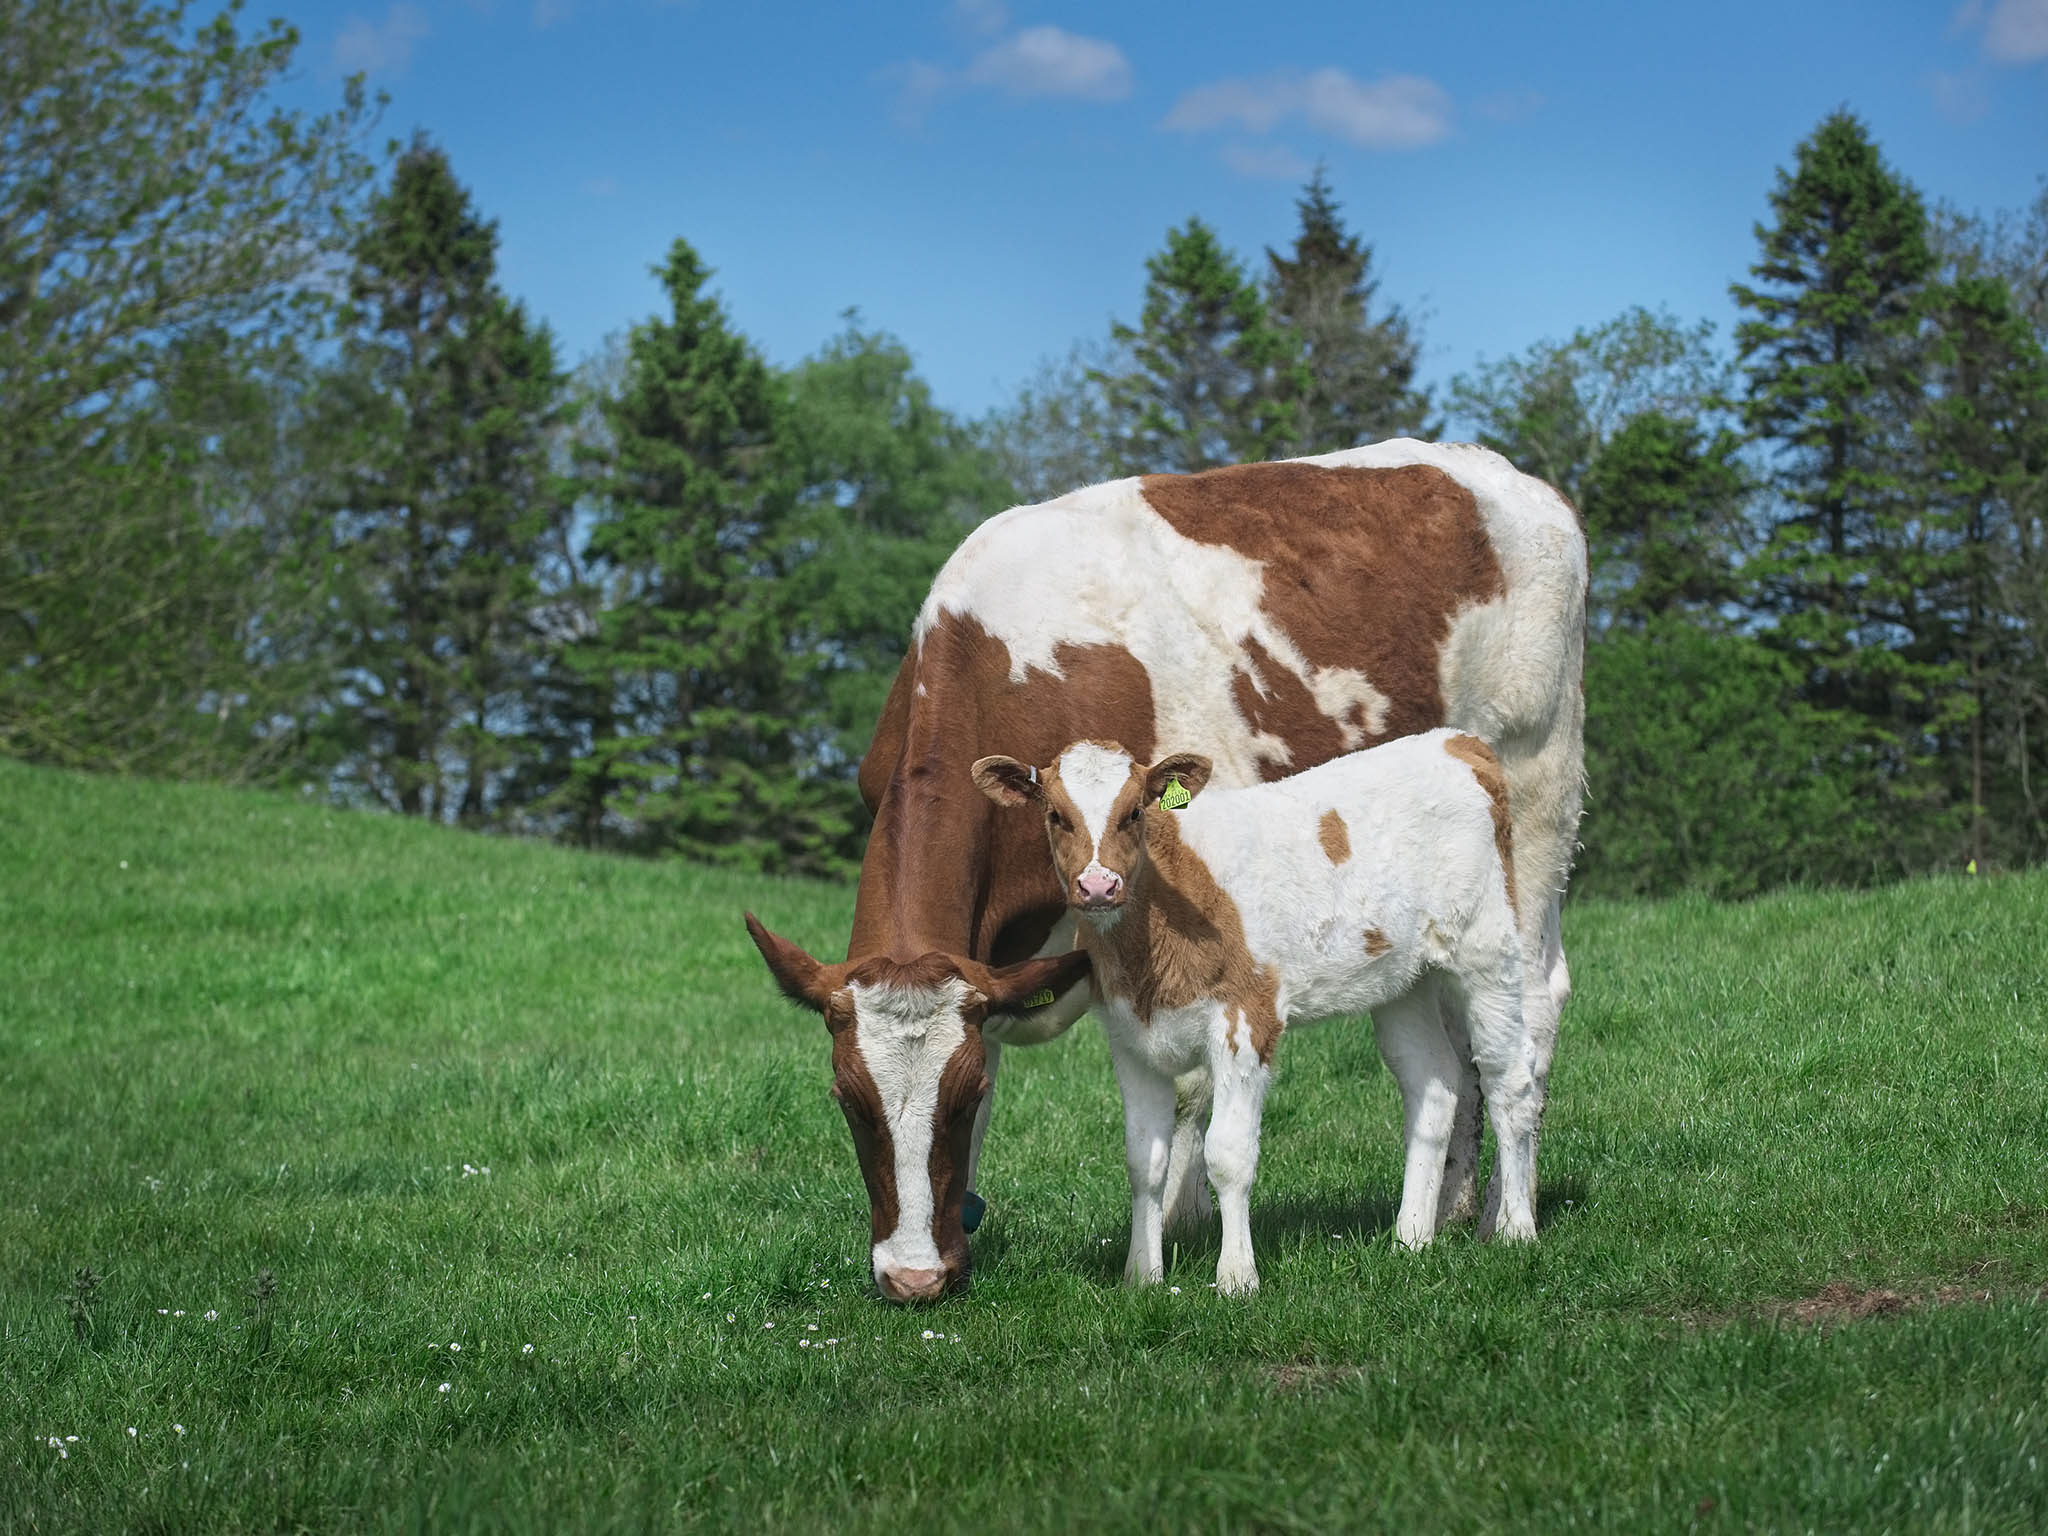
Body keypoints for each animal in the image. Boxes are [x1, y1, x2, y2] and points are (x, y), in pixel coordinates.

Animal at [966, 733, 1540, 1302]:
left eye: (1134, 812)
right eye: (1055, 815)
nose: (1099, 886)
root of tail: (1457, 742)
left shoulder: (1245, 1017)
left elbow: (1228, 1154)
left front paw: (1237, 1277)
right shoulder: (1130, 1038)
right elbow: (1143, 1160)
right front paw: (1143, 1276)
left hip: (1487, 948)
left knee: (1509, 1080)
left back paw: (1515, 1228)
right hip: (1403, 980)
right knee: (1433, 1082)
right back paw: (1411, 1237)